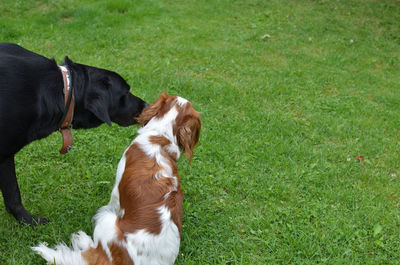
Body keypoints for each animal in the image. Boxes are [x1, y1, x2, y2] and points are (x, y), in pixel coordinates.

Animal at [0, 42, 148, 224]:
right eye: (126, 92)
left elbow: (12, 195)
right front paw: (29, 221)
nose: (146, 105)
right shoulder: (5, 153)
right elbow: (13, 194)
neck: (64, 90)